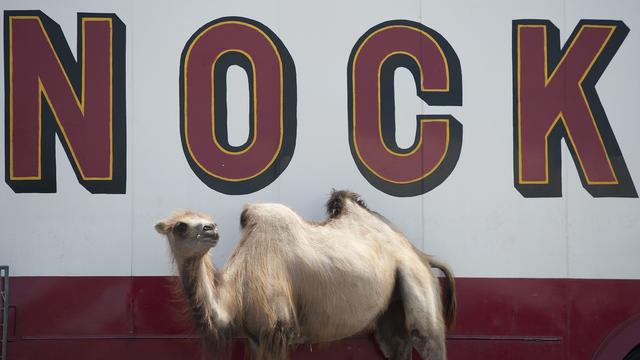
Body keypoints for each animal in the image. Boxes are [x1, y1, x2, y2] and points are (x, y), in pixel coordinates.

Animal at [154, 190, 456, 358]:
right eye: (180, 226)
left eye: (206, 222)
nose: (211, 229)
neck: (235, 294)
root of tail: (419, 252)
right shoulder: (255, 337)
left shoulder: (277, 329)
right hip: (393, 307)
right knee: (395, 343)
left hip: (416, 278)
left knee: (427, 337)